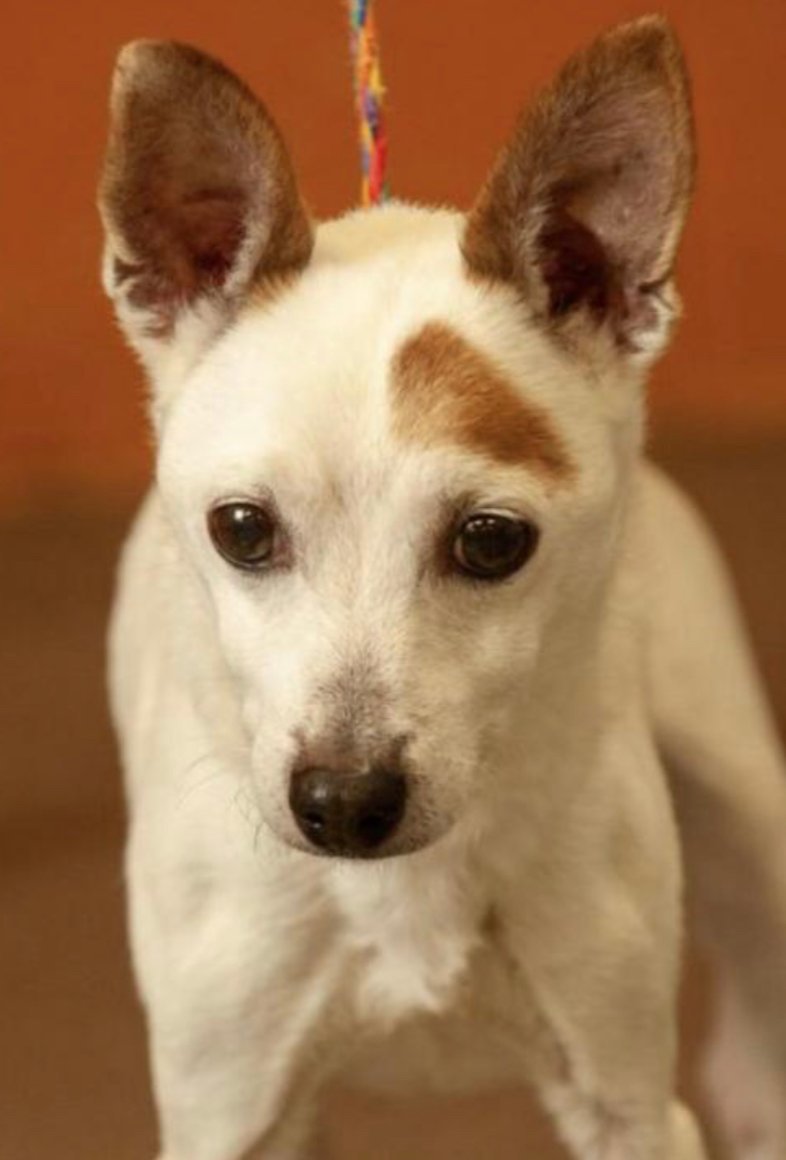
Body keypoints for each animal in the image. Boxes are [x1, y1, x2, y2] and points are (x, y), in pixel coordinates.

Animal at [98, 18, 786, 1160]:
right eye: (241, 528)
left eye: (492, 541)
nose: (343, 803)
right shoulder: (232, 1112)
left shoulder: (628, 1105)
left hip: (745, 804)